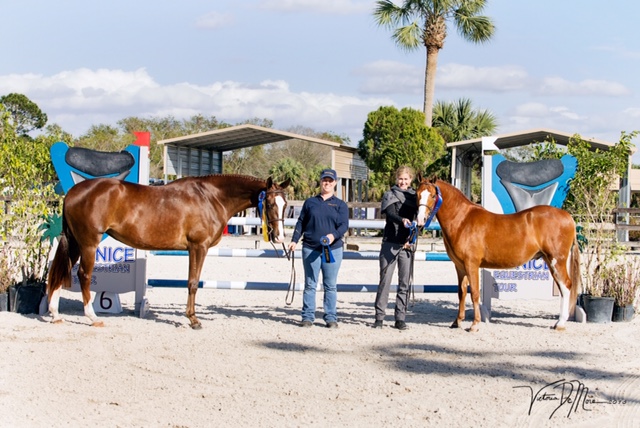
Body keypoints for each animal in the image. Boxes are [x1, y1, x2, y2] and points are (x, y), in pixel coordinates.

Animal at [47, 174, 290, 328]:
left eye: (285, 204)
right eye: (269, 203)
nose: (279, 236)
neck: (211, 197)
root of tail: (73, 192)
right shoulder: (198, 247)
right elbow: (193, 283)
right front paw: (193, 319)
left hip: (75, 243)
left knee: (63, 271)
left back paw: (55, 314)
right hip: (88, 243)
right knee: (83, 275)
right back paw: (92, 317)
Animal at [416, 176, 580, 332]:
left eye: (432, 195)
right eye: (417, 194)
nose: (420, 221)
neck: (462, 220)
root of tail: (568, 217)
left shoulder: (471, 264)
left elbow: (474, 293)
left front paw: (475, 325)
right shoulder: (460, 266)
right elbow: (461, 293)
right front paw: (457, 322)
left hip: (557, 261)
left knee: (566, 286)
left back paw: (560, 323)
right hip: (550, 261)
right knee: (562, 288)